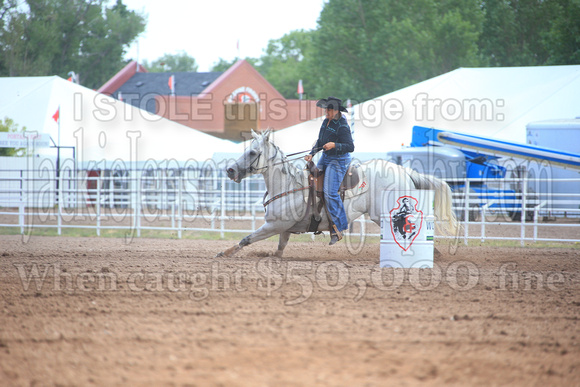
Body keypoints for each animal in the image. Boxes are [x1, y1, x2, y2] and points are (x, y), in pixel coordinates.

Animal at [218, 129, 458, 260]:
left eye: (252, 152)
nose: (230, 170)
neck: (288, 184)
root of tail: (403, 170)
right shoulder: (283, 229)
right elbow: (279, 250)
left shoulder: (274, 225)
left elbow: (246, 239)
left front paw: (224, 253)